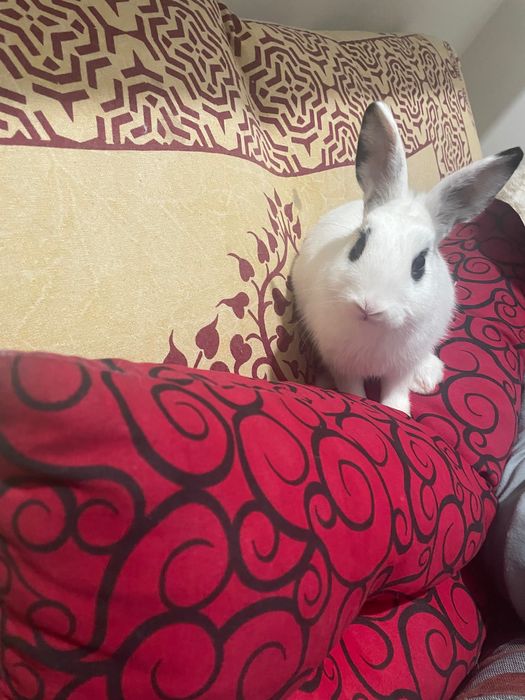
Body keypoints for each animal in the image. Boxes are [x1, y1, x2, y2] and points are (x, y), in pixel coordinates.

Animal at [292, 101, 523, 415]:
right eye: (358, 245)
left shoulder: (401, 366)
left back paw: (426, 377)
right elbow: (353, 392)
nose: (369, 305)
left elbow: (396, 392)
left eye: (420, 264)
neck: (374, 329)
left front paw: (399, 411)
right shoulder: (343, 364)